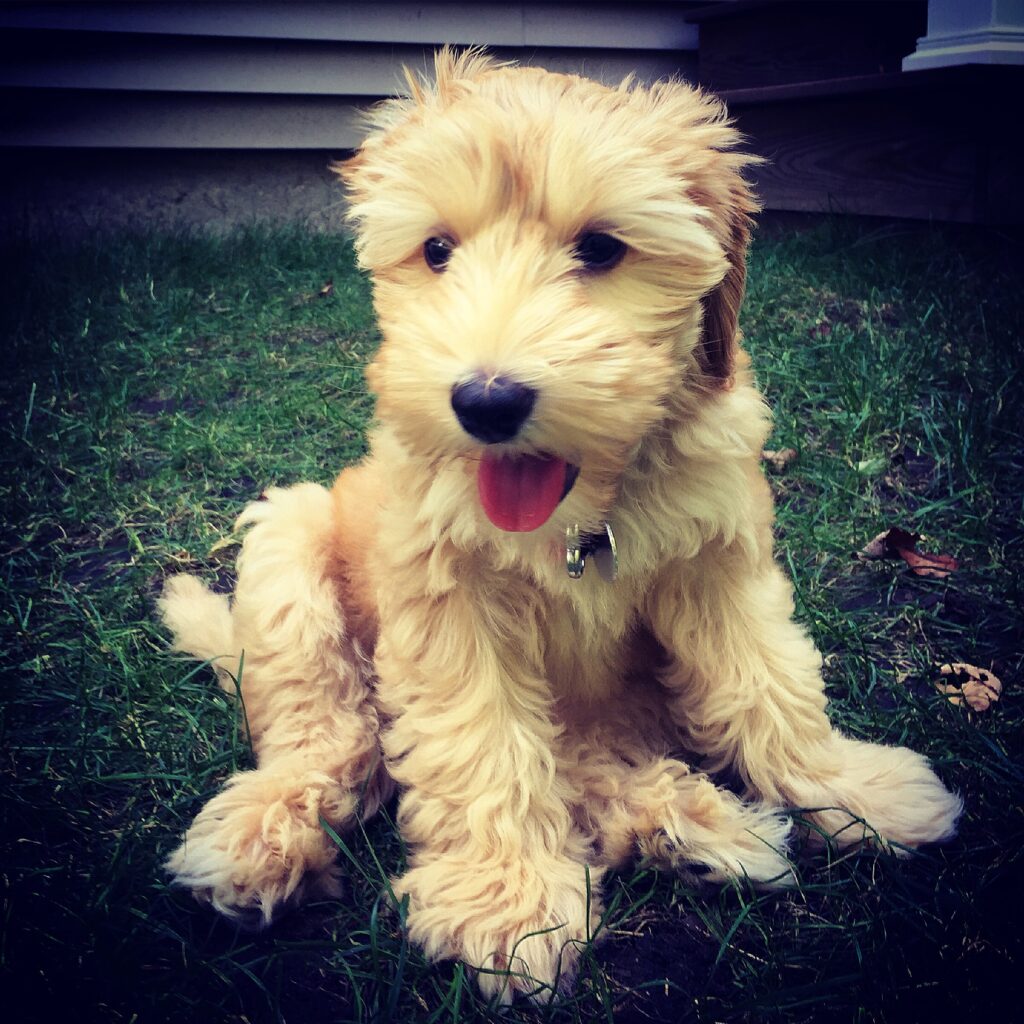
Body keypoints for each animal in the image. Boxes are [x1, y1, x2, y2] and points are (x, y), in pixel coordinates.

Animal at [157, 49, 958, 999]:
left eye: (602, 249)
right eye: (437, 251)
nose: (486, 402)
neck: (582, 508)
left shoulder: (718, 560)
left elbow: (767, 680)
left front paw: (846, 782)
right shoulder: (448, 599)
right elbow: (481, 741)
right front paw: (506, 903)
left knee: (586, 766)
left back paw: (694, 829)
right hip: (291, 549)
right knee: (332, 736)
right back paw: (264, 834)